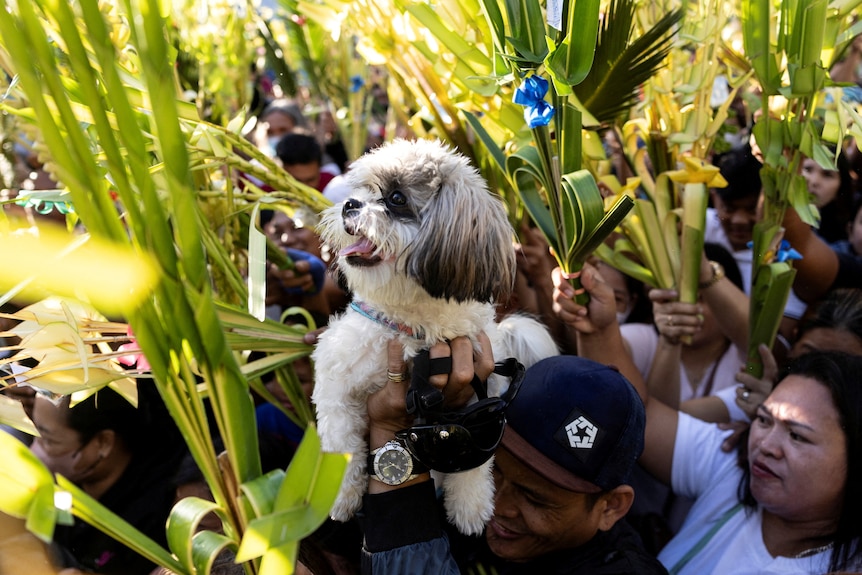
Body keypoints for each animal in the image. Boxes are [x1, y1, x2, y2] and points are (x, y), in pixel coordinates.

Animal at [312, 138, 560, 536]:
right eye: (361, 192)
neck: (414, 323)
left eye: (396, 198)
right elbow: (342, 443)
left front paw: (470, 505)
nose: (351, 205)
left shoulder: (482, 400)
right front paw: (340, 497)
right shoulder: (337, 381)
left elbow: (473, 458)